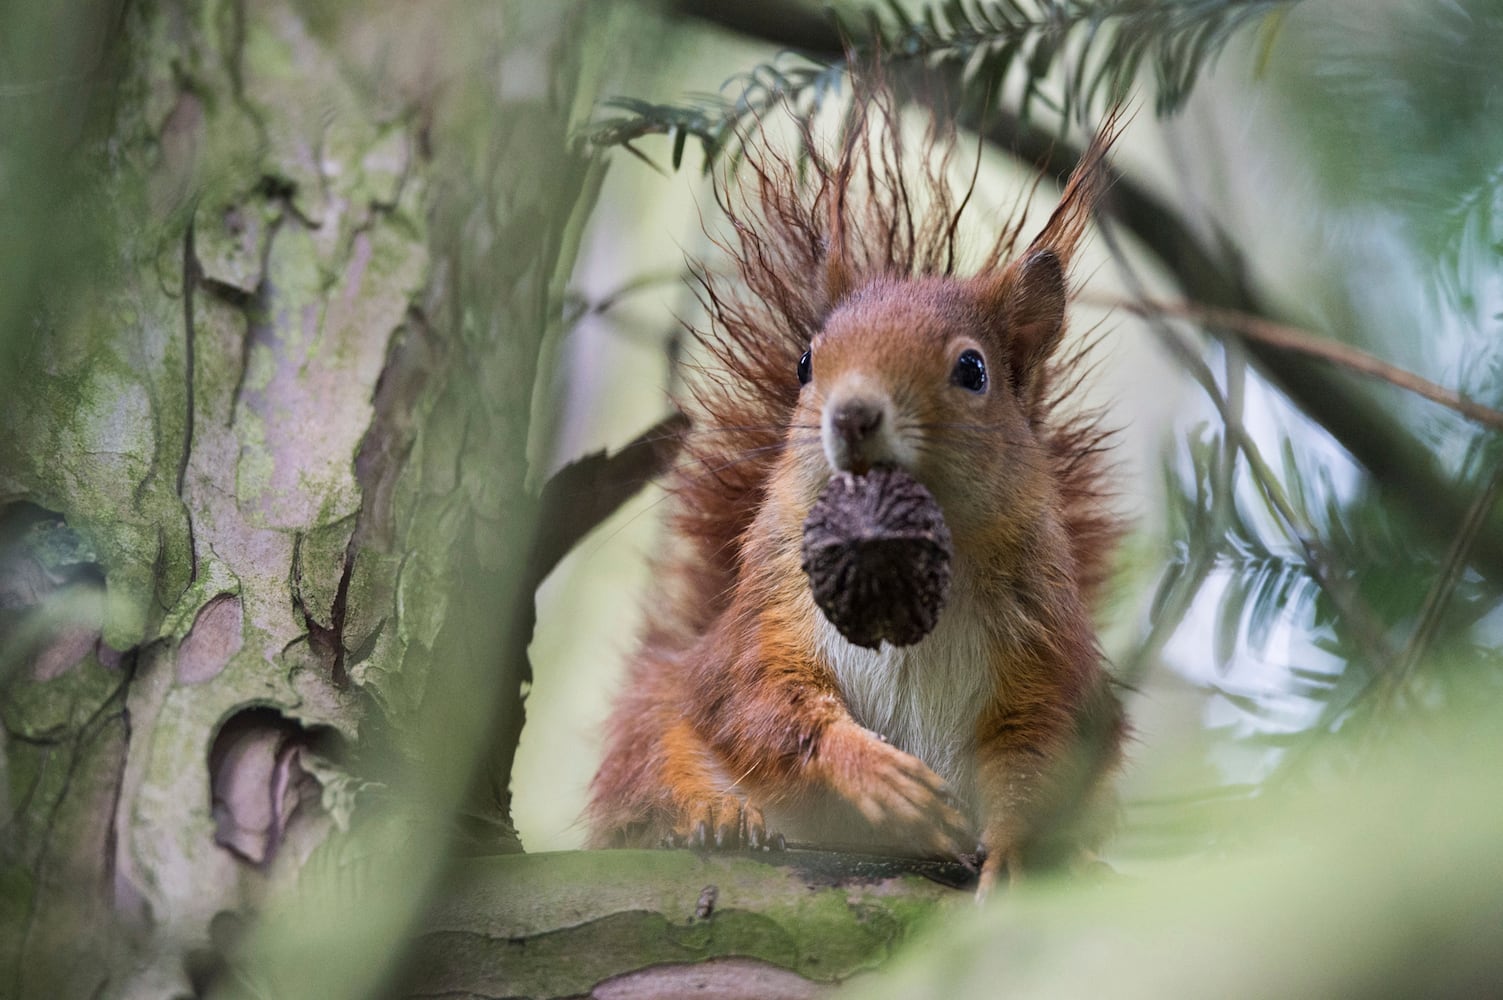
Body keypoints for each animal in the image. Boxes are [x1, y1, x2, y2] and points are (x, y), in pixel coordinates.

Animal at [586, 87, 1130, 896]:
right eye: (806, 361)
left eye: (972, 370)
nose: (852, 414)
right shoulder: (769, 616)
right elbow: (759, 702)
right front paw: (876, 776)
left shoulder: (1044, 650)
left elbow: (1035, 751)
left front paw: (1017, 851)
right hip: (656, 713)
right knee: (657, 760)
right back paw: (712, 814)